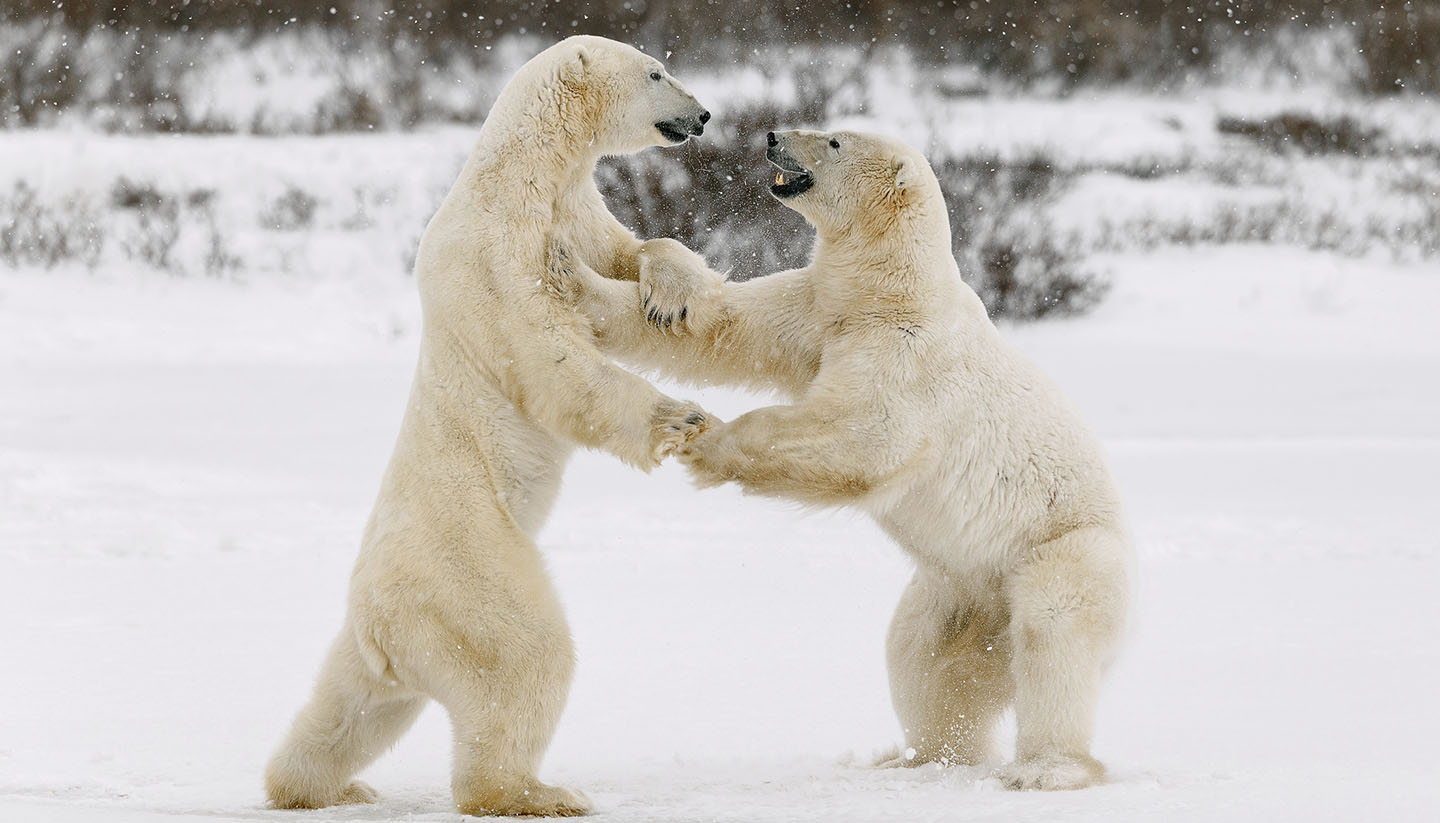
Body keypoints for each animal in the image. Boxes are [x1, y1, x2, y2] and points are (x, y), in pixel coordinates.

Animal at [262, 33, 720, 817]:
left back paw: (318, 784)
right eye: (656, 72)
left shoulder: (576, 209)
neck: (521, 177)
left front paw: (670, 292)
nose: (703, 113)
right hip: (469, 576)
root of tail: (383, 622)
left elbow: (629, 252)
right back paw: (537, 791)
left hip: (376, 643)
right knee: (525, 658)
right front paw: (680, 417)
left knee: (352, 708)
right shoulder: (495, 256)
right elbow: (551, 359)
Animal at [544, 125, 1128, 788]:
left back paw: (1046, 769)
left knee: (1054, 637)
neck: (890, 291)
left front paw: (707, 442)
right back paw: (917, 756)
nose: (773, 135)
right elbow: (721, 326)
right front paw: (569, 268)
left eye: (834, 142)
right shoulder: (818, 311)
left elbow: (865, 434)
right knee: (923, 657)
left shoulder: (907, 354)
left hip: (1063, 550)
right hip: (955, 589)